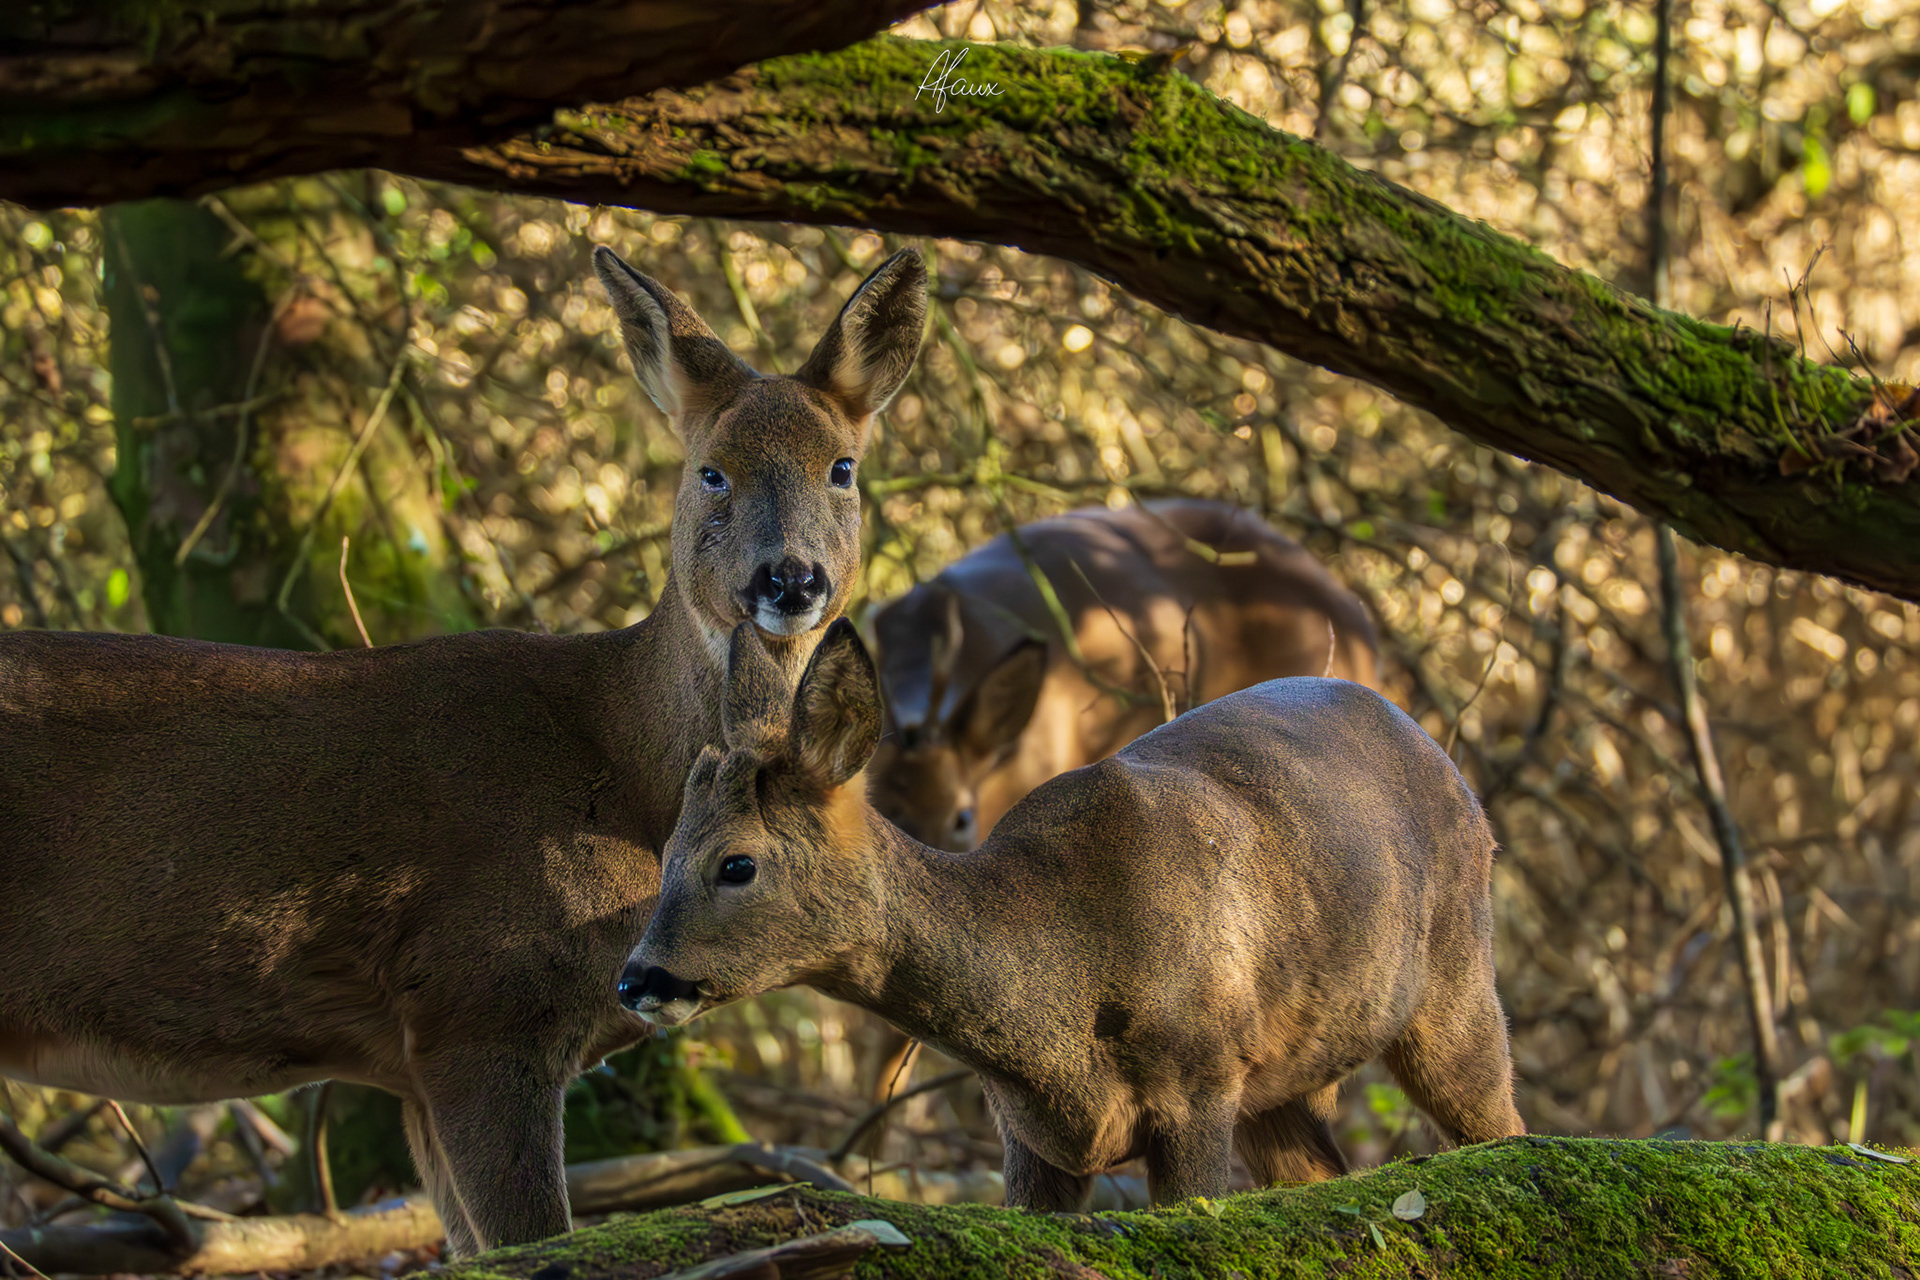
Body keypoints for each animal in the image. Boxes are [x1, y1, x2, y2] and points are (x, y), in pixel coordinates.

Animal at [0, 245, 928, 1256]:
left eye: (843, 467)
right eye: (712, 472)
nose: (790, 579)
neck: (622, 772)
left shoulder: (414, 1061)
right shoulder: (480, 999)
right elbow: (533, 1242)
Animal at [621, 619, 1526, 1211]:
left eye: (736, 863)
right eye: (663, 854)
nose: (637, 979)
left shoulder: (1201, 1080)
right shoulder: (1028, 1139)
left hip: (1456, 987)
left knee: (1505, 1128)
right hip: (1284, 1081)